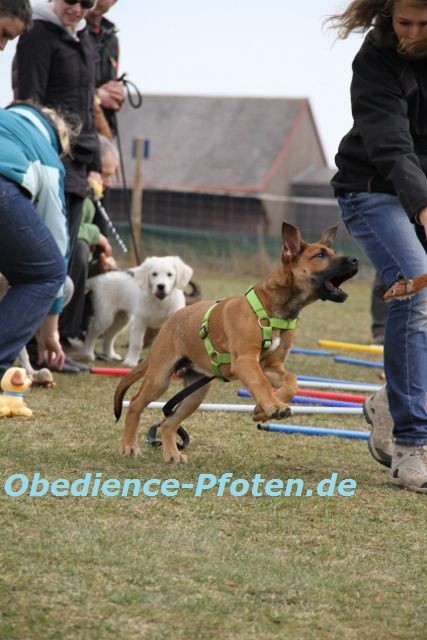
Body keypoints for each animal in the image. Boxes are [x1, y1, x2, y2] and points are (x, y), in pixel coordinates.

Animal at [115, 222, 360, 462]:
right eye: (320, 255)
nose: (355, 260)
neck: (273, 310)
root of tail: (170, 322)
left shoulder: (270, 366)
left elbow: (292, 382)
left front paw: (263, 409)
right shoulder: (246, 362)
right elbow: (262, 384)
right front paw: (272, 405)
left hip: (196, 393)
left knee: (168, 422)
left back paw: (172, 454)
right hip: (159, 378)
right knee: (135, 404)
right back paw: (129, 446)